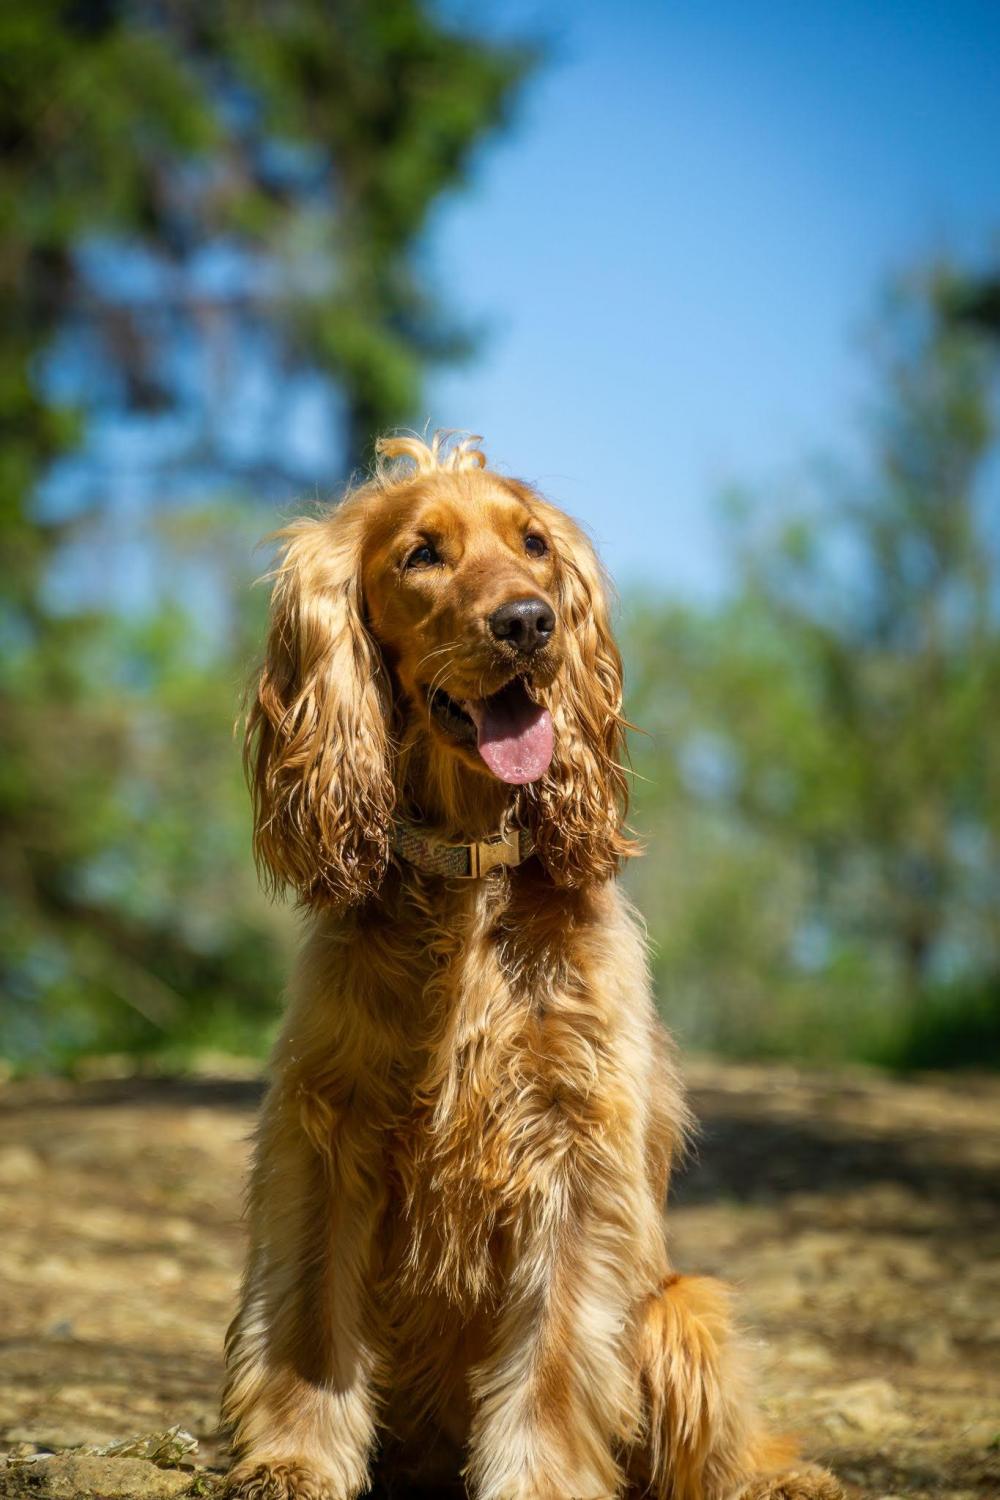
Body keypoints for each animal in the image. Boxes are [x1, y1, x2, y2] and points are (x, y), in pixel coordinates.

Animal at [223, 435, 839, 1500]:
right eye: (421, 554)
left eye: (535, 546)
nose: (526, 622)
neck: (468, 876)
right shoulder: (328, 1127)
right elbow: (309, 1316)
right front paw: (295, 1456)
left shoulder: (571, 1142)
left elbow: (554, 1352)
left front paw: (537, 1479)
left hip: (687, 1310)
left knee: (726, 1445)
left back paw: (782, 1477)